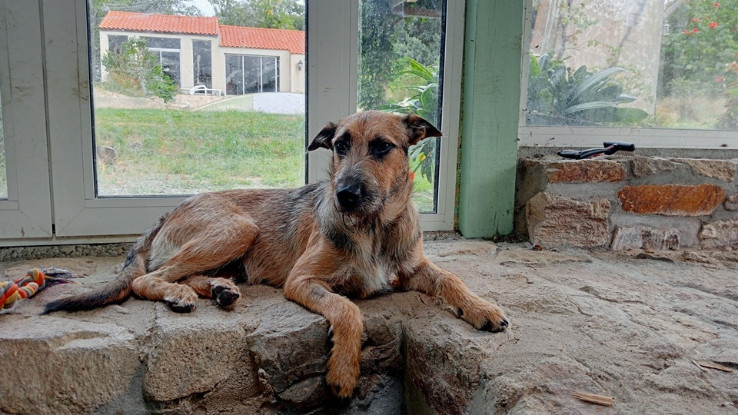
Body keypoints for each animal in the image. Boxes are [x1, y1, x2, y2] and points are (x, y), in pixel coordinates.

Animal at [43, 110, 509, 398]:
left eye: (382, 147)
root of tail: (166, 211)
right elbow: (348, 310)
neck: (373, 227)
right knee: (149, 276)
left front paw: (482, 308)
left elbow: (451, 278)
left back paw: (219, 289)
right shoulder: (302, 281)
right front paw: (343, 370)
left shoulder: (415, 267)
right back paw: (184, 294)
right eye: (339, 145)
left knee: (179, 273)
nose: (344, 195)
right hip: (238, 228)